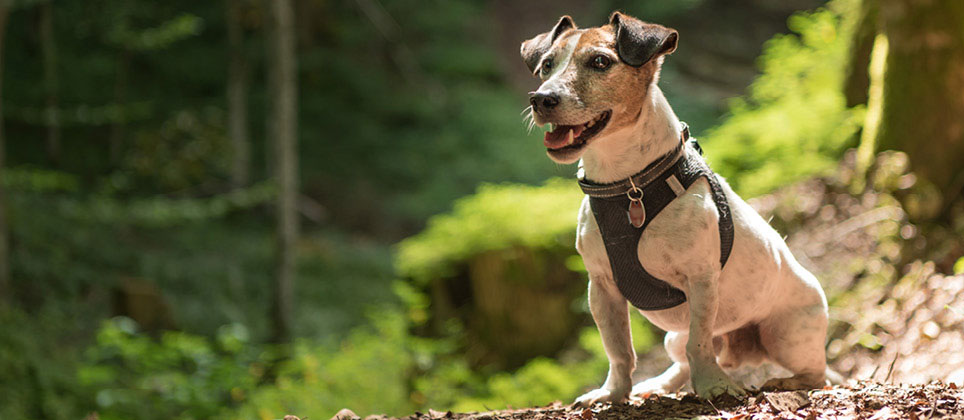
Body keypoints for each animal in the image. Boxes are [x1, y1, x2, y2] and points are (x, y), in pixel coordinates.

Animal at [524, 13, 832, 406]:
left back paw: (782, 382)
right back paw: (660, 384)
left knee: (816, 373)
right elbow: (618, 349)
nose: (541, 98)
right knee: (685, 359)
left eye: (600, 62)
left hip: (786, 334)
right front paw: (613, 392)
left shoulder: (700, 279)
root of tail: (739, 349)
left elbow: (699, 344)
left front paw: (713, 386)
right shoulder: (602, 287)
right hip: (674, 337)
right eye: (547, 65)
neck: (629, 185)